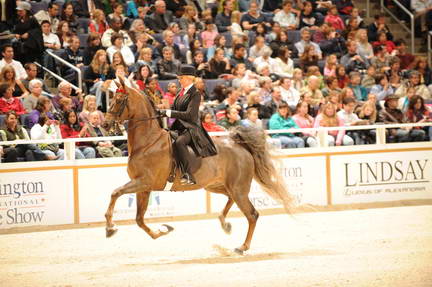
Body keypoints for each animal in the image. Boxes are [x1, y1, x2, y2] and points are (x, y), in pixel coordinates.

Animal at [104, 79, 294, 254]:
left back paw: (242, 247)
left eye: (119, 100)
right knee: (231, 199)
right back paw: (225, 224)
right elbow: (139, 219)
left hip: (238, 188)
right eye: (111, 98)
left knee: (252, 214)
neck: (148, 142)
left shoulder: (144, 182)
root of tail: (240, 145)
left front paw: (110, 227)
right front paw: (163, 230)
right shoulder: (143, 187)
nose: (105, 124)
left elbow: (115, 193)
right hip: (218, 186)